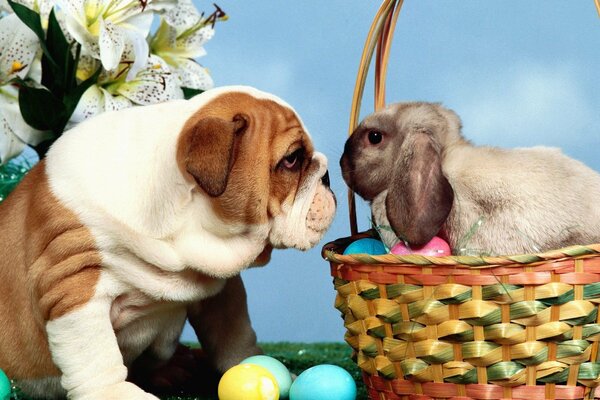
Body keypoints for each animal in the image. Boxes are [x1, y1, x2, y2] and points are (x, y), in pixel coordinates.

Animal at [0, 86, 338, 398]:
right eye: (292, 159)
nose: (328, 176)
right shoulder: (75, 285)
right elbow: (95, 352)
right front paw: (113, 391)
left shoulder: (222, 286)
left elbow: (235, 332)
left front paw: (252, 362)